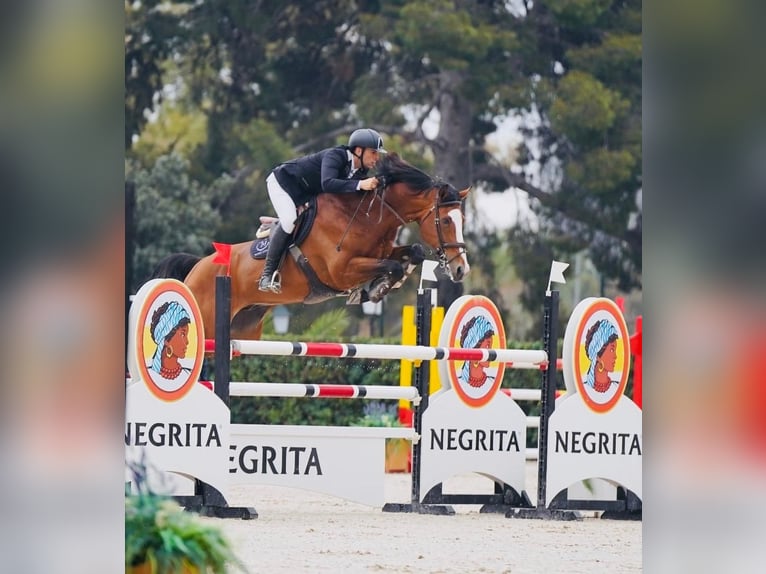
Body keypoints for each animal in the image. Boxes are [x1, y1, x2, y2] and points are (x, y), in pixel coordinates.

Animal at [151, 153, 470, 340]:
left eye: (463, 219)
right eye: (445, 220)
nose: (461, 269)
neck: (366, 217)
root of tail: (198, 267)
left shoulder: (378, 254)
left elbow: (411, 252)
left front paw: (380, 286)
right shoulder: (341, 271)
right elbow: (391, 265)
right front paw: (376, 289)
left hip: (244, 326)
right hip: (207, 320)